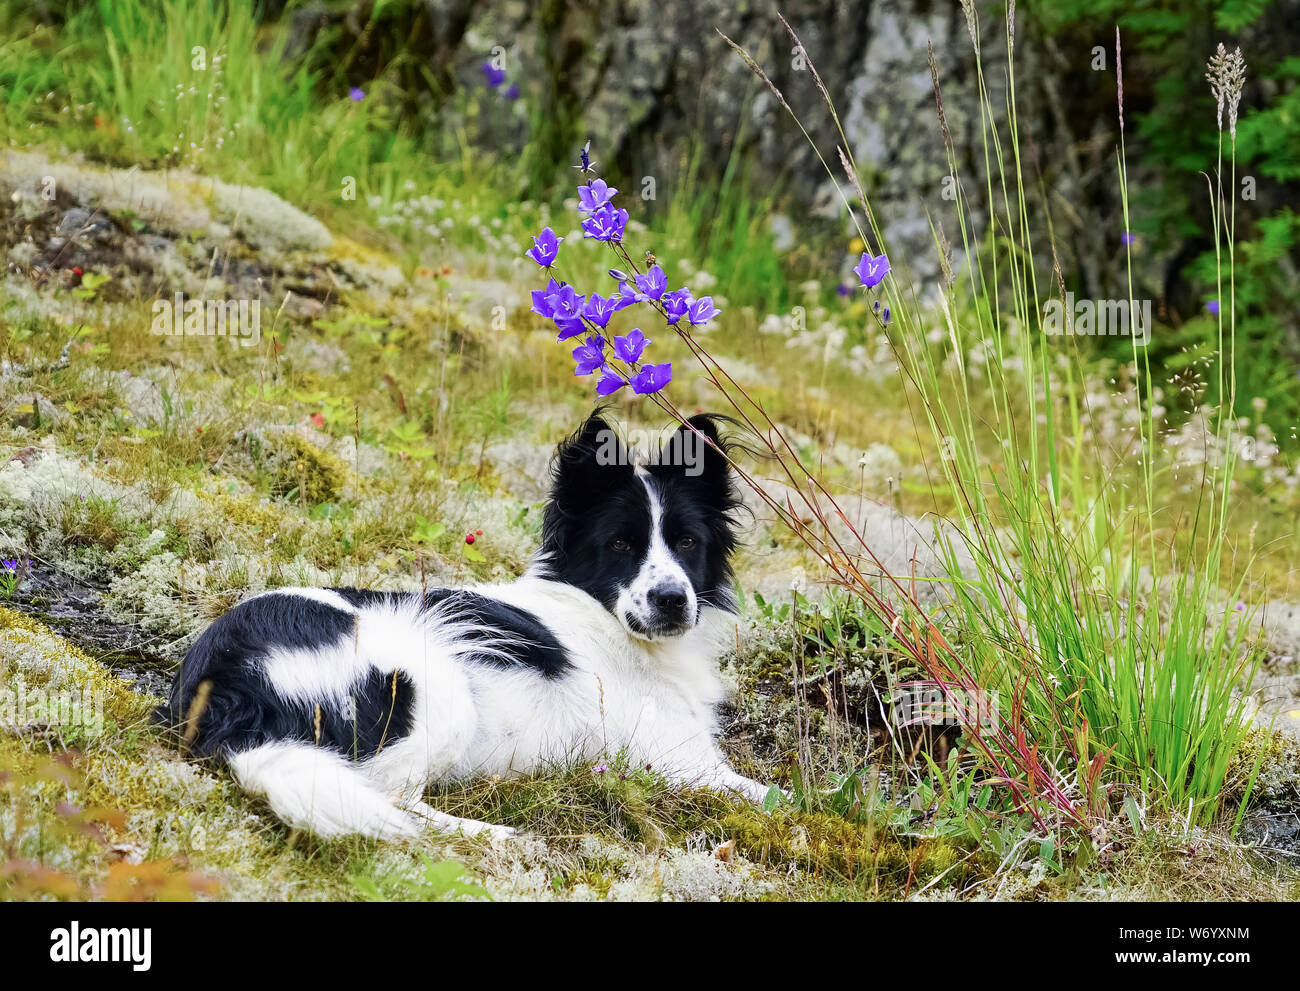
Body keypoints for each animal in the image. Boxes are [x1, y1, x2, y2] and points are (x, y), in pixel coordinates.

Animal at [161, 408, 769, 832]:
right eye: (621, 545)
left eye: (687, 542)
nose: (671, 600)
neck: (603, 619)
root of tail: (225, 677)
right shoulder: (685, 764)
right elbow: (782, 796)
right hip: (436, 684)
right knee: (392, 798)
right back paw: (495, 835)